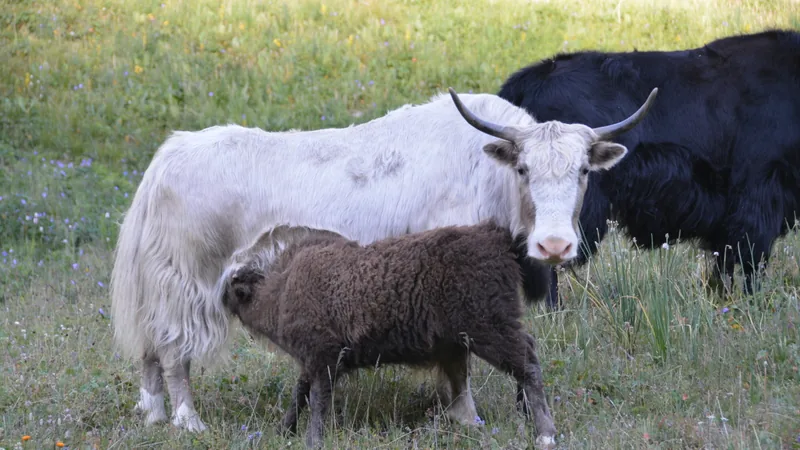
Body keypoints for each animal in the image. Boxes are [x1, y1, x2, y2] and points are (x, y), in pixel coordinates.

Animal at [110, 87, 657, 431]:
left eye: (583, 170)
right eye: (523, 168)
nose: (555, 246)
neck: (484, 172)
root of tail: (166, 159)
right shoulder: (454, 293)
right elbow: (459, 362)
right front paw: (468, 417)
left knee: (150, 351)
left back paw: (152, 414)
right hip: (187, 287)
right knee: (173, 352)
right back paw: (188, 421)